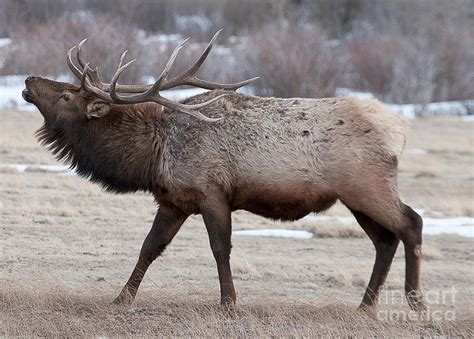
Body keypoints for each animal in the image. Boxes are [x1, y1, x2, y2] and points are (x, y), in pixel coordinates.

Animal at [22, 30, 426, 312]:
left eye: (66, 95)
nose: (27, 81)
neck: (153, 154)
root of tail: (400, 130)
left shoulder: (211, 192)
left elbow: (220, 248)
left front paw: (228, 303)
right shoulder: (174, 201)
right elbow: (149, 248)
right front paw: (121, 298)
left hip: (366, 185)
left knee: (411, 222)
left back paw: (415, 300)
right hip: (355, 196)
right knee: (384, 240)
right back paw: (365, 305)